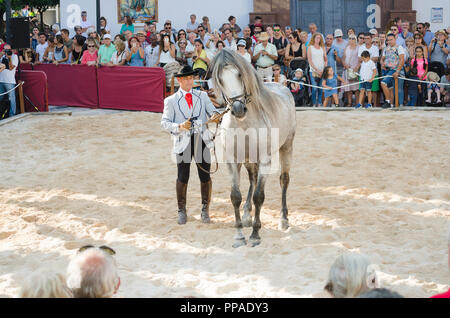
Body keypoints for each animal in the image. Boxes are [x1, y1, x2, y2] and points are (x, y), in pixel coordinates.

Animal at [210, 50, 298, 248]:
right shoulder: (232, 162)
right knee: (252, 179)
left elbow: (259, 196)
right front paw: (239, 235)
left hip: (287, 147)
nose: (238, 109)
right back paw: (246, 215)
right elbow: (235, 196)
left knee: (284, 180)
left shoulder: (265, 160)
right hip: (249, 160)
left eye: (239, 74)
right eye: (220, 79)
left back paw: (283, 219)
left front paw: (255, 235)